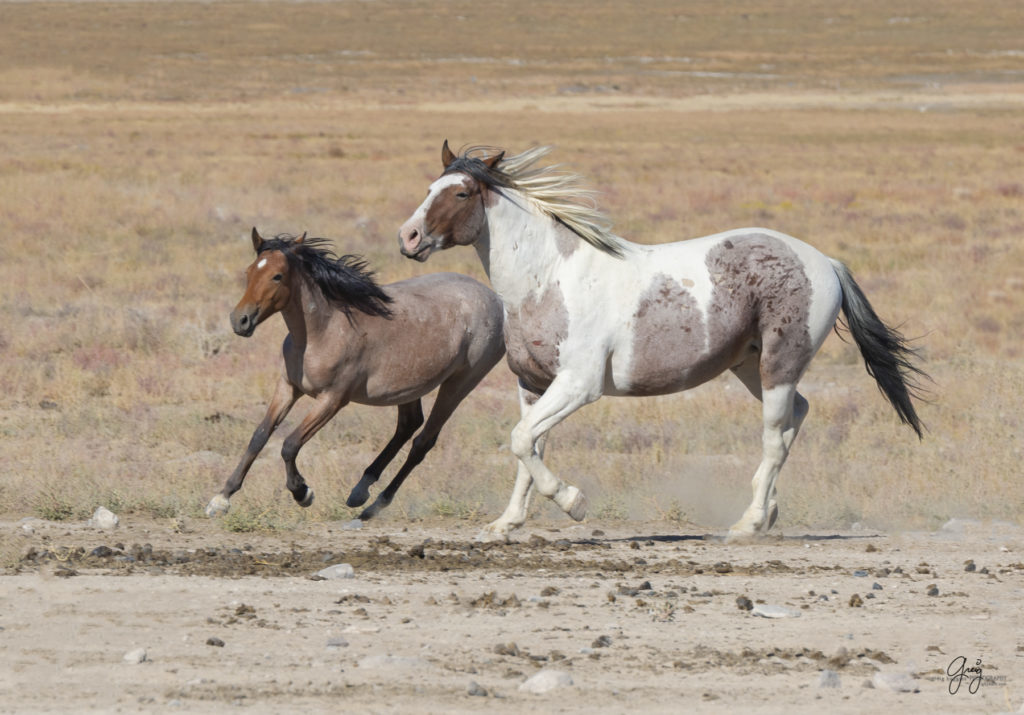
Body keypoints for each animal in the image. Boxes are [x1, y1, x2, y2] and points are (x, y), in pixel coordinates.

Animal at [202, 228, 503, 518]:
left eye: (277, 276)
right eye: (249, 272)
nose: (240, 320)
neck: (321, 332)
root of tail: (495, 300)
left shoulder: (332, 400)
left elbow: (290, 444)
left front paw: (303, 493)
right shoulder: (288, 387)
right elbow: (259, 437)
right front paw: (221, 499)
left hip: (460, 383)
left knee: (423, 441)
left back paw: (375, 505)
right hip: (409, 388)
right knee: (408, 425)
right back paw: (361, 489)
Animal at [399, 142, 929, 536]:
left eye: (462, 193)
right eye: (429, 188)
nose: (408, 237)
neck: (547, 278)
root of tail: (826, 262)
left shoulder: (578, 385)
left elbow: (521, 441)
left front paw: (574, 502)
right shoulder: (532, 386)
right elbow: (529, 447)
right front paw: (507, 522)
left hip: (780, 363)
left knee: (775, 435)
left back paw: (749, 522)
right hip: (749, 366)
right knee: (795, 417)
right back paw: (769, 511)